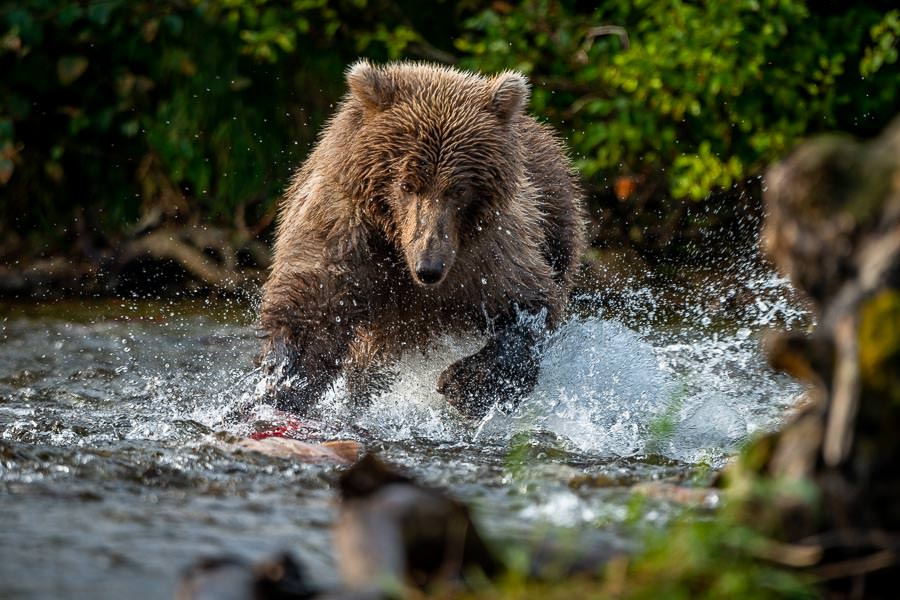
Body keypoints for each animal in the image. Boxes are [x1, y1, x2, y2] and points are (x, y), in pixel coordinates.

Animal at [259, 60, 586, 418]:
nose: (428, 267)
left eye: (459, 189)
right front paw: (284, 379)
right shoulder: (345, 227)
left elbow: (526, 303)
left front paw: (466, 383)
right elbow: (316, 304)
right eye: (406, 184)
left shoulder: (489, 249)